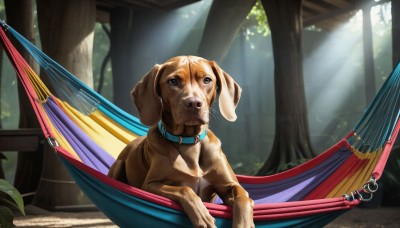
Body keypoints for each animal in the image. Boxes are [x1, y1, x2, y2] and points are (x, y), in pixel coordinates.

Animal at [108, 55, 255, 228]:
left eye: (207, 80)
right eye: (173, 81)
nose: (193, 103)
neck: (189, 141)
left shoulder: (230, 185)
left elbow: (243, 197)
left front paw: (244, 223)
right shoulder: (150, 185)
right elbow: (184, 189)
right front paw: (202, 216)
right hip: (118, 166)